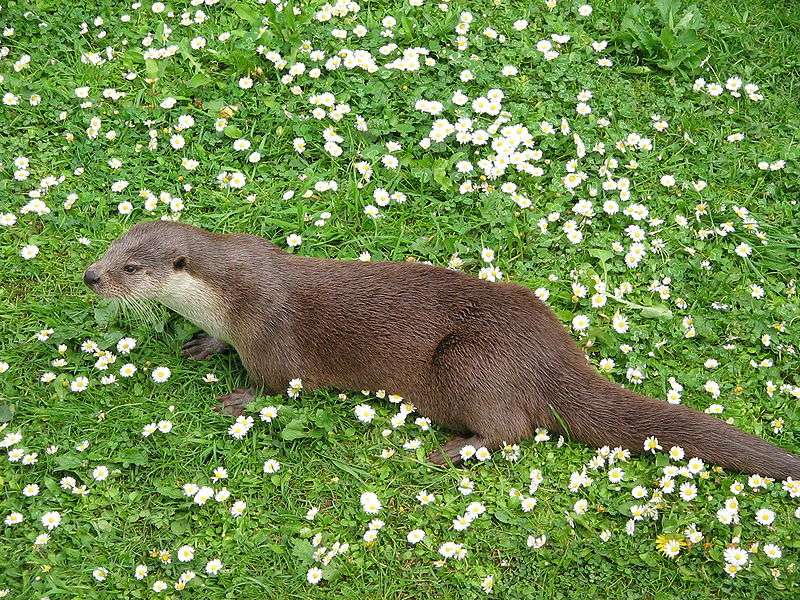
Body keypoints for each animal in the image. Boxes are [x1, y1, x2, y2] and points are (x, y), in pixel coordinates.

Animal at [86, 220, 800, 478]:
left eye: (132, 267)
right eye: (110, 248)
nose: (92, 276)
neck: (234, 294)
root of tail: (554, 356)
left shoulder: (271, 337)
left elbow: (278, 387)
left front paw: (234, 399)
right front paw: (201, 345)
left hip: (470, 361)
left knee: (515, 429)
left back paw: (456, 448)